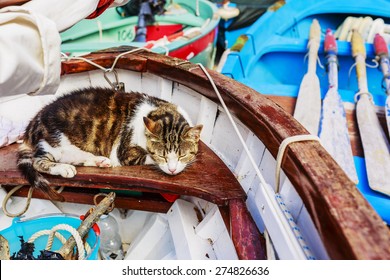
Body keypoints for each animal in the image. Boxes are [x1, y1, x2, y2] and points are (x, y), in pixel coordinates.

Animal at [16, 87, 203, 201]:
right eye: (161, 155)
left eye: (182, 154)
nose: (172, 170)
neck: (157, 111)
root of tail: (33, 123)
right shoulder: (125, 152)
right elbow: (145, 157)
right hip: (54, 140)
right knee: (38, 161)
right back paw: (64, 169)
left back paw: (99, 161)